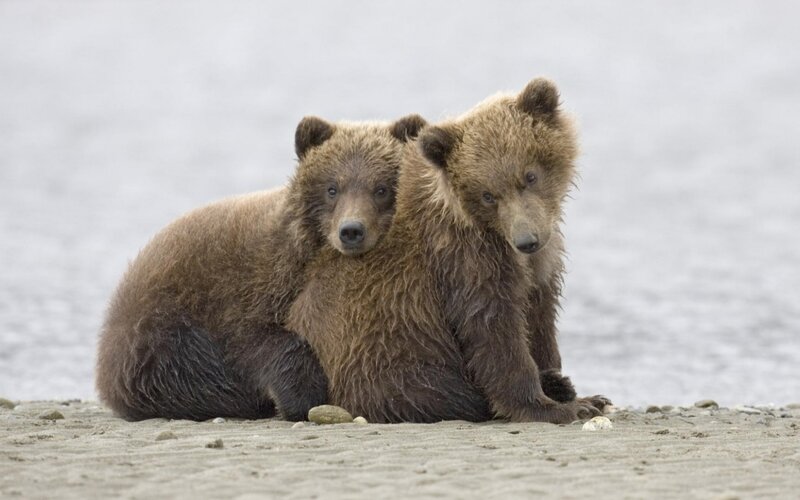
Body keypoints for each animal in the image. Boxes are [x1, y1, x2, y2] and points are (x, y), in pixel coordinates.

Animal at [95, 113, 427, 421]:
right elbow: (257, 343)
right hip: (156, 332)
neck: (304, 253)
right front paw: (302, 396)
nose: (351, 230)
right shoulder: (247, 288)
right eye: (332, 188)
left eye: (381, 188)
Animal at [286, 78, 604, 423]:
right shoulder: (464, 258)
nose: (526, 239)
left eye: (530, 176)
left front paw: (572, 388)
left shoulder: (540, 263)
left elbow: (540, 316)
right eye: (488, 195)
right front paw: (555, 406)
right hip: (384, 356)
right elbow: (494, 329)